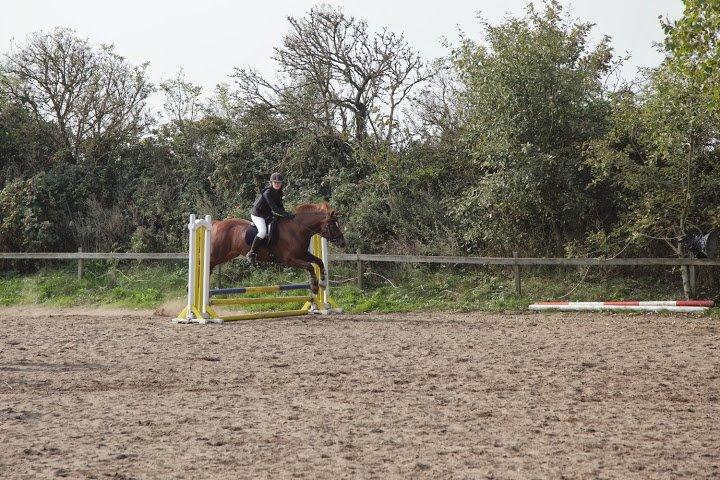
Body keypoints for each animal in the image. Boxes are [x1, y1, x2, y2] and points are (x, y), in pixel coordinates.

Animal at [208, 202, 346, 294]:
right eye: (333, 224)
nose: (343, 243)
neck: (297, 229)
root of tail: (217, 223)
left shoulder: (302, 254)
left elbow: (319, 261)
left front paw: (322, 280)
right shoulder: (289, 260)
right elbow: (310, 266)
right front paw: (315, 286)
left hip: (227, 255)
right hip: (217, 254)